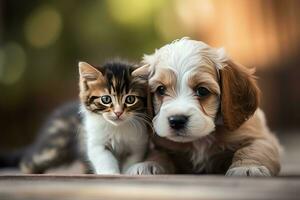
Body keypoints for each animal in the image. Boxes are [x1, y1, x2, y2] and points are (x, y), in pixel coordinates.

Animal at [134, 38, 282, 176]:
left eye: (202, 91)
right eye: (161, 89)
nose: (176, 120)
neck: (200, 140)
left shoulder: (262, 138)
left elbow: (251, 149)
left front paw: (247, 167)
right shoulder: (161, 145)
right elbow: (158, 153)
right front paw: (148, 164)